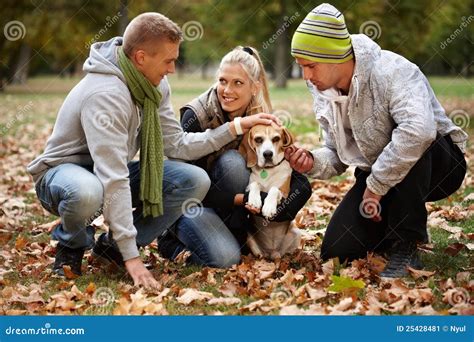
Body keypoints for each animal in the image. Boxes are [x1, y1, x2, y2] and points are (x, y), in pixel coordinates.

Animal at [239, 123, 302, 260]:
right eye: (258, 139)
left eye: (276, 139)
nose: (268, 154)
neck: (267, 171)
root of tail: (272, 252)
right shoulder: (248, 186)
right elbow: (255, 184)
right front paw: (254, 201)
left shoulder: (285, 193)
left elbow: (274, 189)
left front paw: (268, 208)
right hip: (249, 237)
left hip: (296, 233)